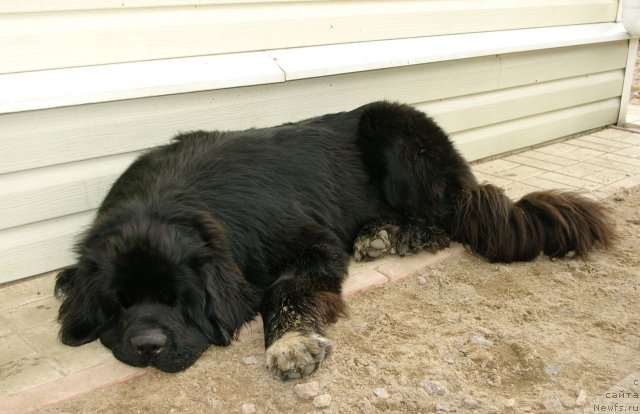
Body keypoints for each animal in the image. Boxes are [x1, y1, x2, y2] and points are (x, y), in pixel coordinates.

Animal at [55, 100, 616, 378]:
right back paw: (380, 232)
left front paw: (290, 345)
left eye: (179, 300)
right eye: (120, 303)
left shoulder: (311, 242)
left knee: (449, 215)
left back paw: (396, 233)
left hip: (394, 137)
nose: (147, 346)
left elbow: (285, 290)